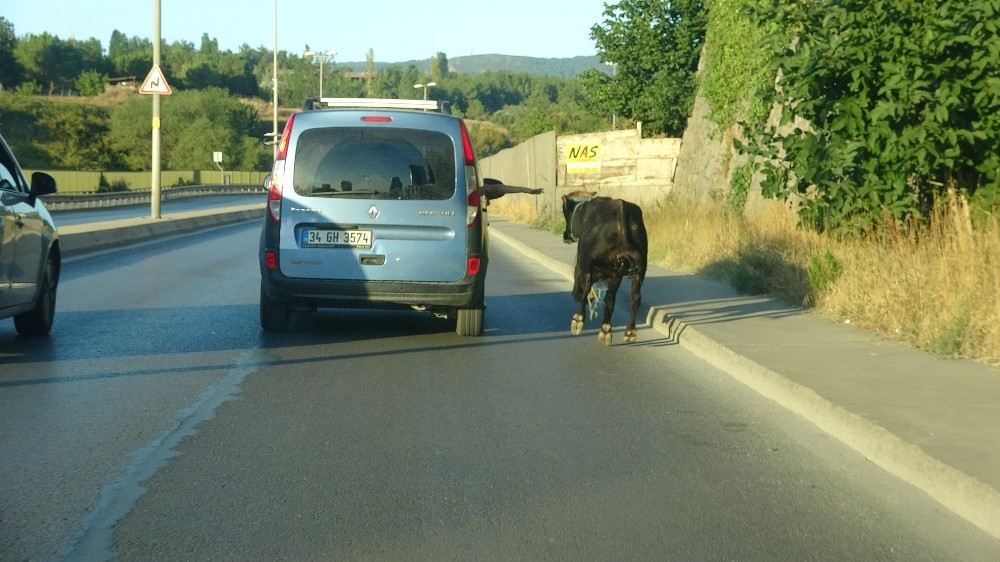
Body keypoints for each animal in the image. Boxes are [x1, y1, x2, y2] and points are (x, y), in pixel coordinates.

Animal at [564, 190, 648, 344]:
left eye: (565, 212)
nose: (566, 235)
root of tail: (621, 205)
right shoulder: (615, 275)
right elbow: (609, 300)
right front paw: (606, 329)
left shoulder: (583, 263)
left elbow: (583, 288)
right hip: (639, 269)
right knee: (634, 298)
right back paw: (629, 331)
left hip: (588, 261)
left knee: (586, 287)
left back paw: (578, 319)